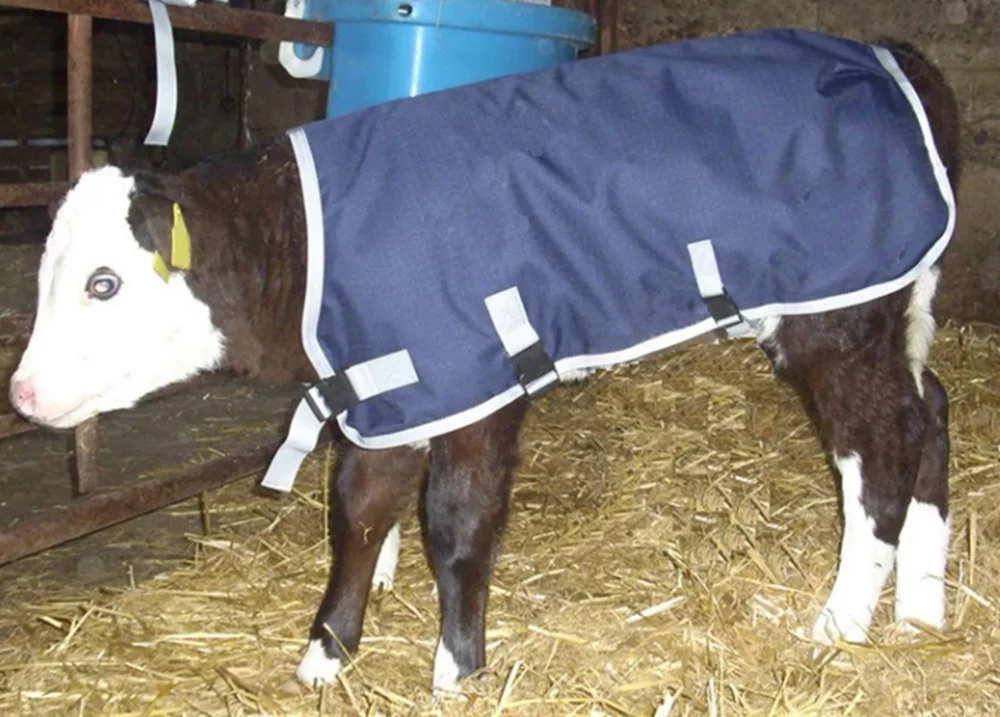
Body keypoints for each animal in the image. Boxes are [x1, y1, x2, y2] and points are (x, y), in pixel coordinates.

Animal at [9, 29, 960, 694]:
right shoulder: (391, 382)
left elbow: (457, 524)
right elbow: (359, 510)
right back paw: (922, 604)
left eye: (103, 282)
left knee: (879, 449)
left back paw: (842, 620)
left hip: (837, 313)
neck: (310, 246)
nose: (21, 391)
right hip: (897, 304)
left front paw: (456, 668)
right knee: (930, 411)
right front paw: (327, 652)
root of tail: (889, 57)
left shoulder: (471, 380)